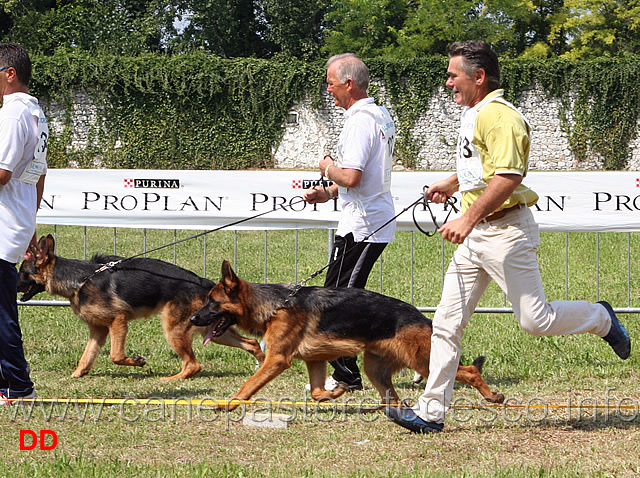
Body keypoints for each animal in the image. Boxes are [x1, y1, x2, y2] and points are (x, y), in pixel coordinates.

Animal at [17, 235, 264, 380]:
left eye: (21, 272)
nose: (11, 284)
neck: (80, 279)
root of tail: (206, 283)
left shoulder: (118, 321)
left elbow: (115, 355)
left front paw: (136, 361)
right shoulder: (98, 330)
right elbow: (86, 356)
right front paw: (77, 374)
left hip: (174, 329)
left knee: (193, 365)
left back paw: (171, 379)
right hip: (211, 330)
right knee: (251, 343)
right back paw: (263, 366)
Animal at [190, 260, 504, 408]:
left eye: (212, 302)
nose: (193, 318)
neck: (276, 305)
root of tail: (422, 317)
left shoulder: (276, 359)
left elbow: (248, 386)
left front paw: (227, 405)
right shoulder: (314, 360)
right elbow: (317, 392)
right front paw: (337, 391)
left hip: (422, 363)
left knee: (469, 371)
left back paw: (492, 397)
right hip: (375, 368)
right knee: (391, 398)